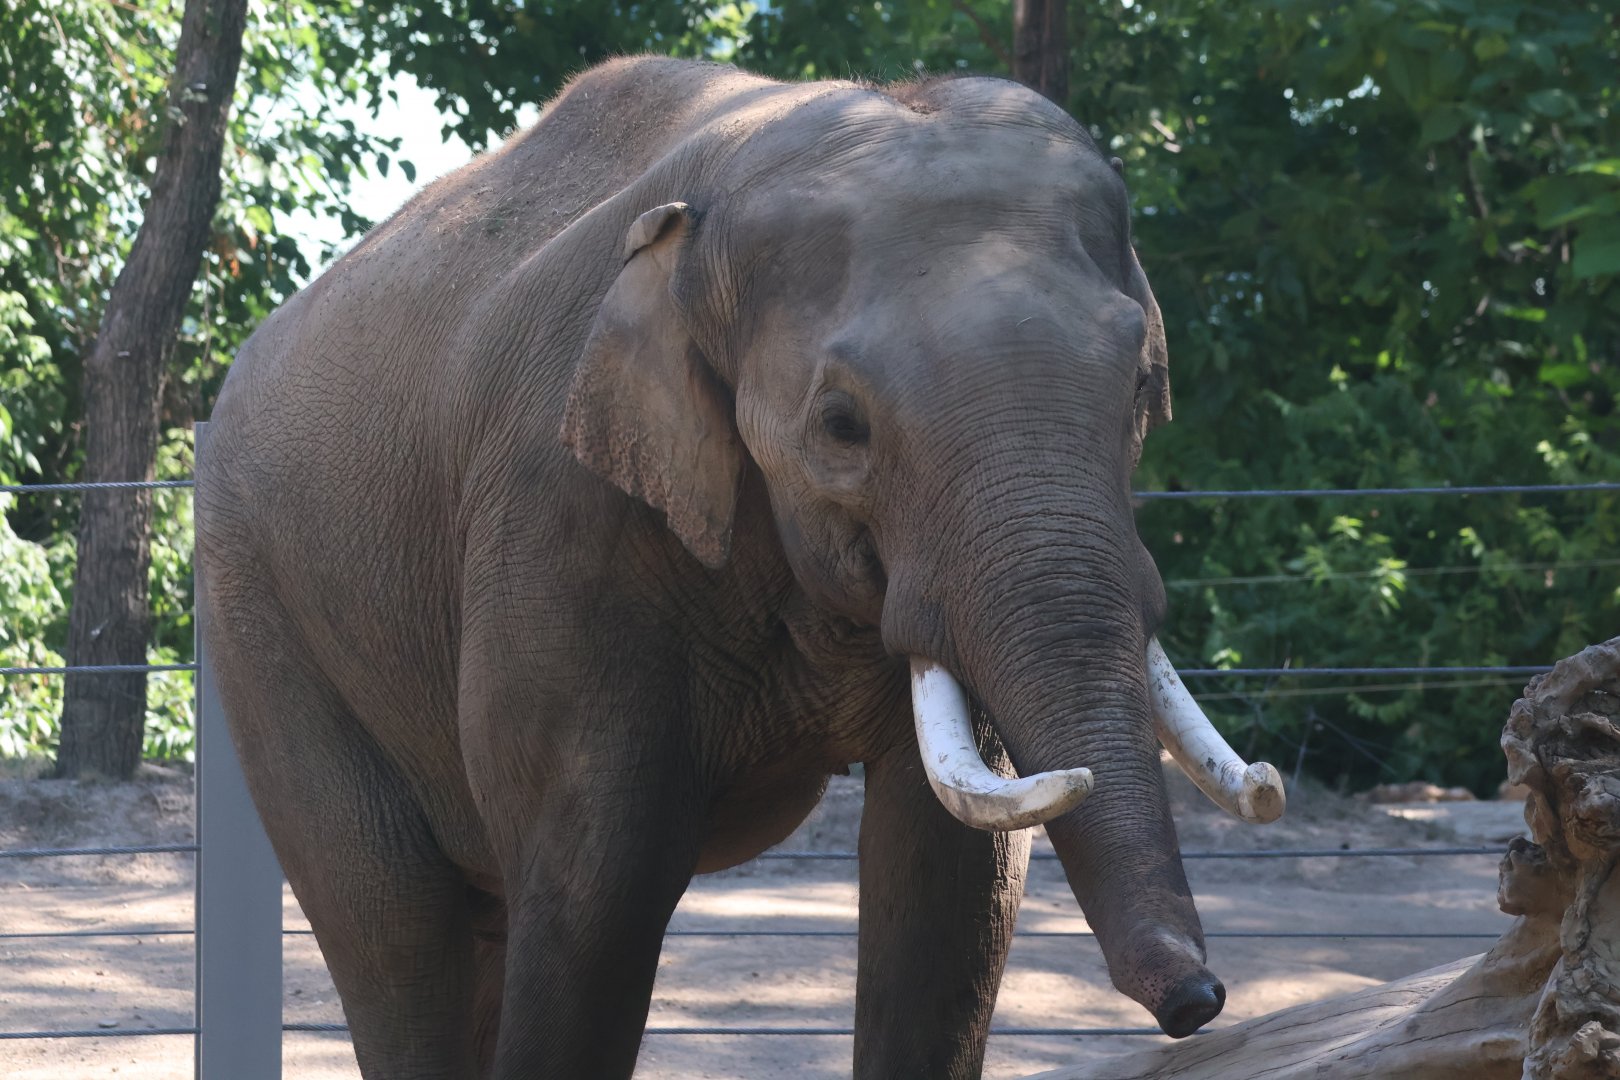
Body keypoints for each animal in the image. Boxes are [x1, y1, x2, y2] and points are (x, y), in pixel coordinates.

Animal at [195, 56, 1284, 1079]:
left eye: (1141, 385)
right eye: (842, 425)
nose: (1198, 1000)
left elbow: (954, 882)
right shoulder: (554, 512)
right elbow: (596, 884)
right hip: (260, 610)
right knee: (394, 925)